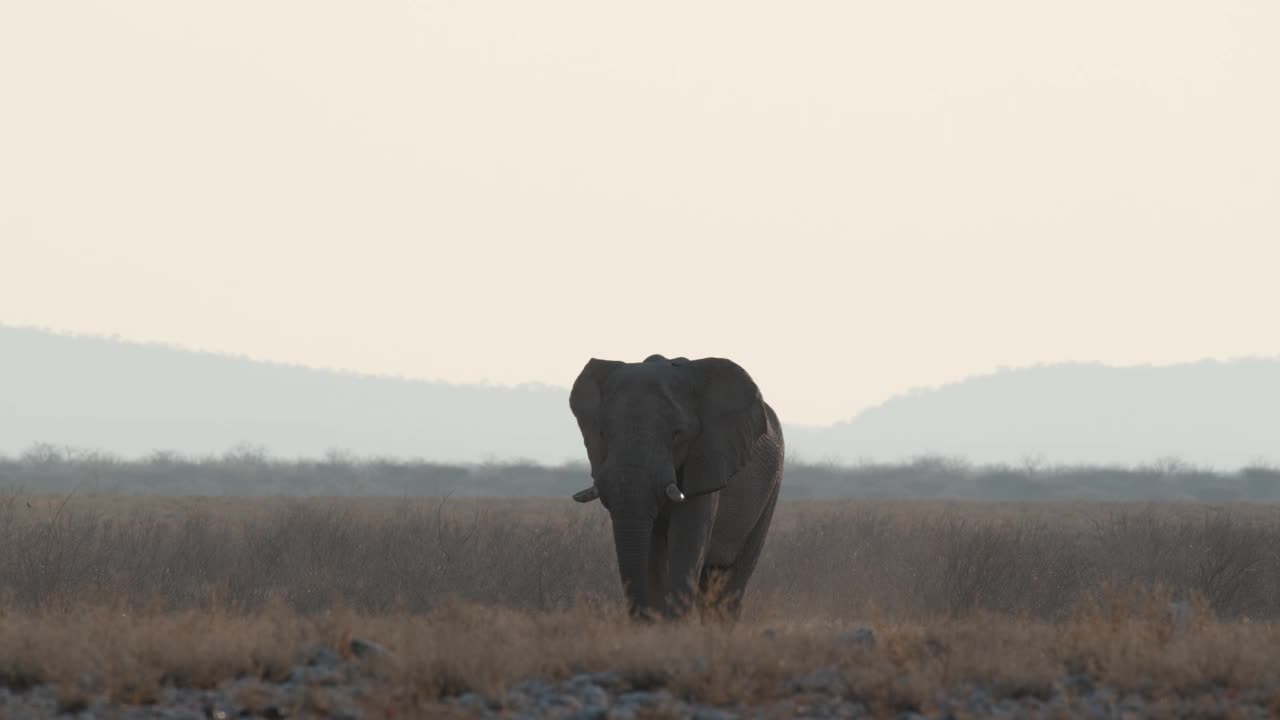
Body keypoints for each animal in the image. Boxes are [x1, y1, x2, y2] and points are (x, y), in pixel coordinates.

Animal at [568, 353, 778, 617]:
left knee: (731, 581)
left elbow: (686, 541)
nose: (639, 618)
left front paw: (672, 623)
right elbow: (651, 548)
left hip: (771, 490)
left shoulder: (705, 459)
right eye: (603, 434)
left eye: (677, 435)